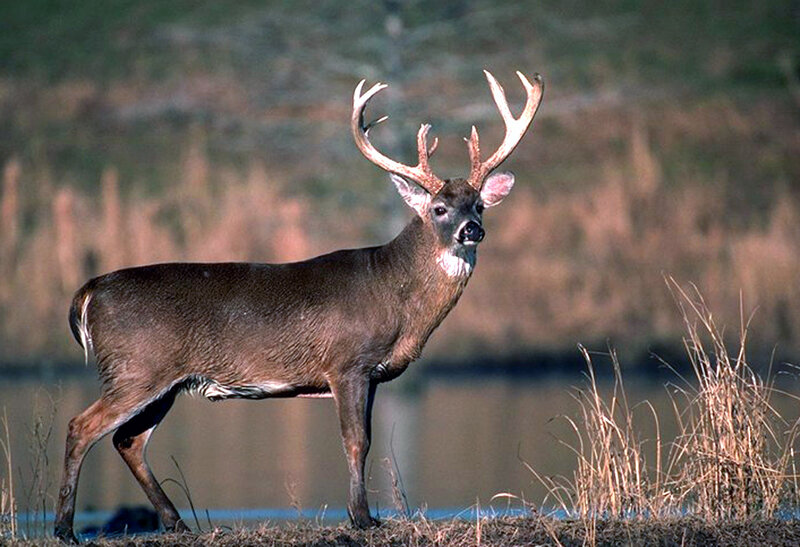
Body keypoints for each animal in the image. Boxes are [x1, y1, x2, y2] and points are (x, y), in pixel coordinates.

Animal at [53, 69, 543, 543]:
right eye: (440, 208)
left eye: (479, 205)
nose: (472, 230)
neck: (395, 296)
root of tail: (91, 290)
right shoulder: (346, 363)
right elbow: (356, 441)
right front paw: (362, 519)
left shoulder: (372, 374)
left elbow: (366, 440)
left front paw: (365, 515)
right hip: (136, 366)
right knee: (82, 426)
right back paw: (65, 529)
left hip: (163, 380)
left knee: (128, 441)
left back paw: (176, 523)